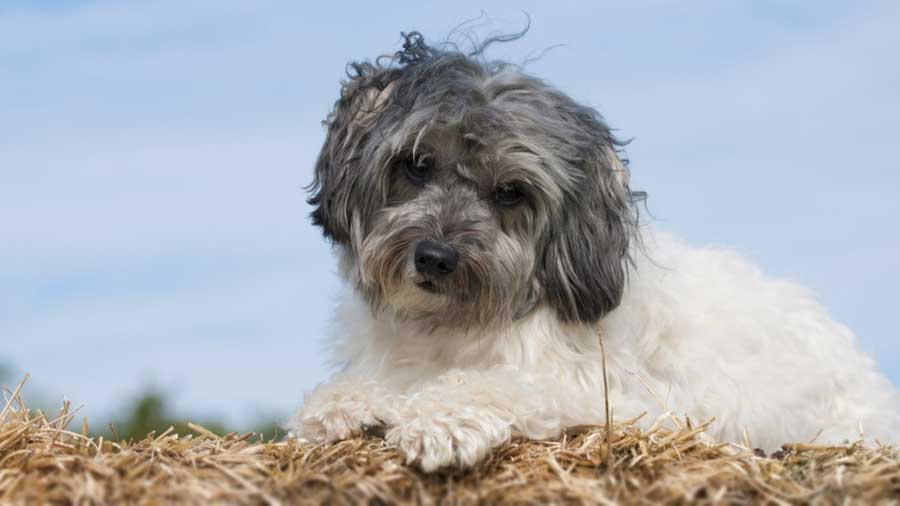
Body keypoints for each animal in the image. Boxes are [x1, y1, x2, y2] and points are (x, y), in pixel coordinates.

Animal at [290, 33, 900, 472]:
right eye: (417, 164)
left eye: (510, 192)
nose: (435, 258)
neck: (452, 331)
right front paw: (338, 406)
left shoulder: (622, 399)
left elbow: (510, 384)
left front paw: (438, 419)